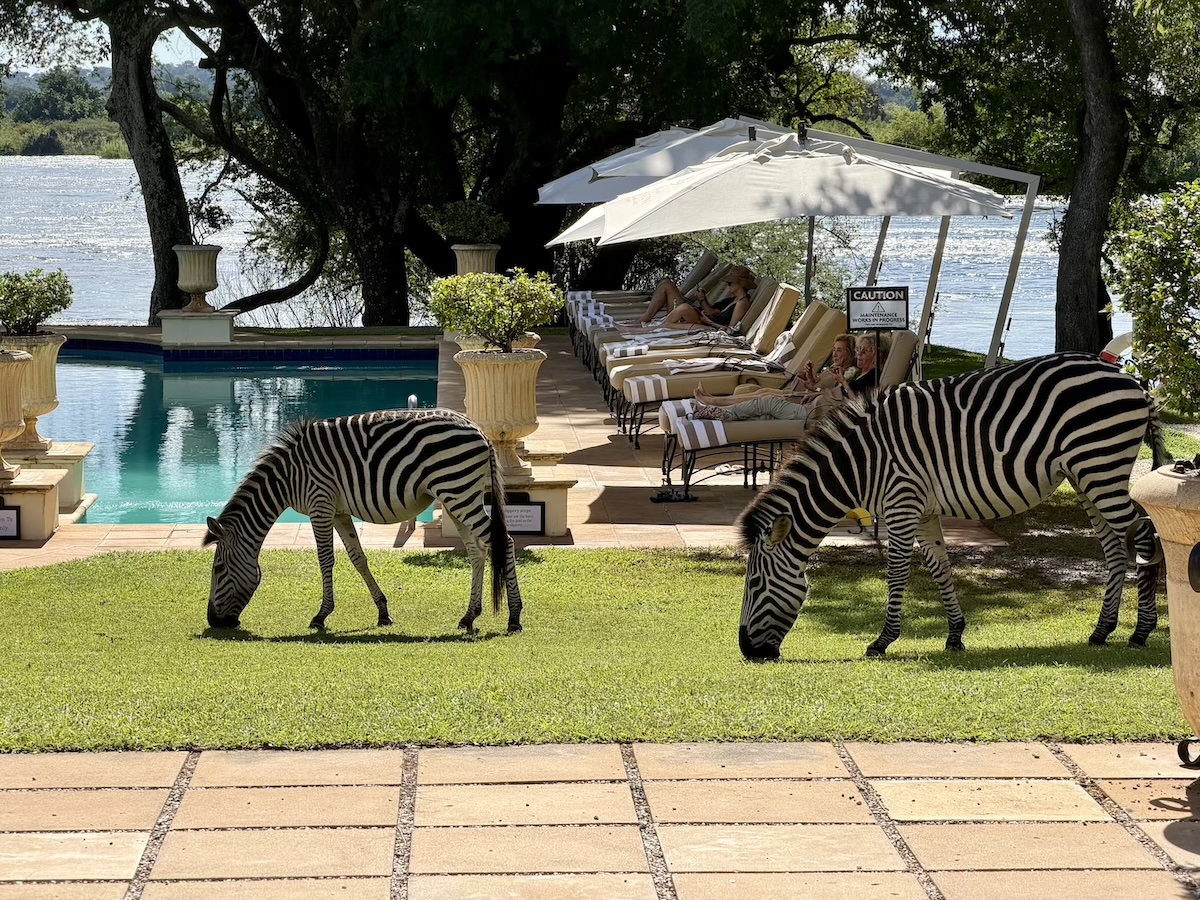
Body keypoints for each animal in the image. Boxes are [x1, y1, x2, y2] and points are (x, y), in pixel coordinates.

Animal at [203, 408, 523, 634]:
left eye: (218, 569)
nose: (213, 621)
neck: (288, 477)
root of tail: (479, 430)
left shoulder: (320, 505)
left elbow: (325, 560)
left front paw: (321, 616)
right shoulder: (339, 512)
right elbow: (358, 559)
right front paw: (382, 612)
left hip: (458, 490)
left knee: (503, 541)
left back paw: (515, 617)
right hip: (457, 495)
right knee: (476, 550)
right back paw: (469, 617)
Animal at [736, 352, 1168, 661]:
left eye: (754, 584)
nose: (747, 652)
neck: (860, 464)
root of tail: (1133, 382)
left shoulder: (901, 503)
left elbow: (896, 573)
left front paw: (882, 641)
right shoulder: (922, 509)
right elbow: (940, 567)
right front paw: (955, 635)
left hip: (1101, 466)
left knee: (1145, 534)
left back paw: (1141, 632)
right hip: (1087, 475)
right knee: (1114, 548)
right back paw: (1102, 631)